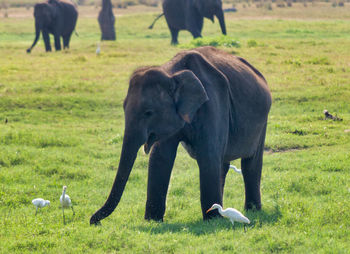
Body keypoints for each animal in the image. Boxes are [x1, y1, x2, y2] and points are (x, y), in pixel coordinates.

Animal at [89, 45, 270, 224]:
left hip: (263, 120)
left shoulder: (214, 103)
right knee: (223, 163)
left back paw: (251, 210)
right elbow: (160, 157)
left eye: (148, 112)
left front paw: (212, 221)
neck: (171, 73)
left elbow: (208, 156)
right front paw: (153, 221)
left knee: (250, 164)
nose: (94, 221)